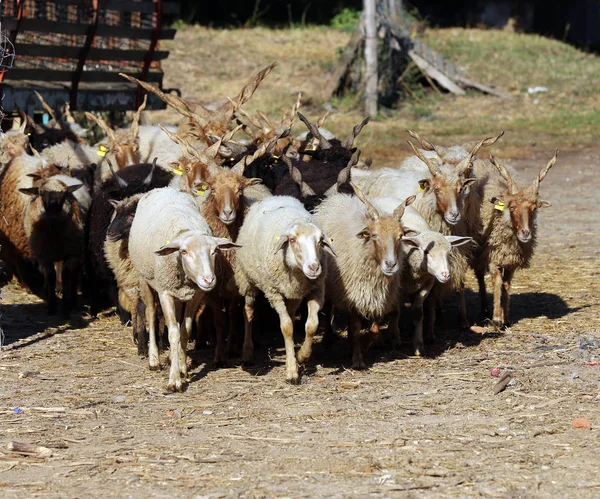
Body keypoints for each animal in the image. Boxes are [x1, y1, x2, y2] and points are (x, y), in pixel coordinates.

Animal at [129, 187, 239, 390]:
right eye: (184, 252)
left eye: (214, 251)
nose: (209, 279)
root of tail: (163, 188)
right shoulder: (165, 292)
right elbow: (173, 333)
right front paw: (174, 380)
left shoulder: (196, 294)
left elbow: (185, 330)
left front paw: (182, 368)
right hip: (144, 279)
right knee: (150, 312)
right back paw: (154, 360)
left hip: (179, 295)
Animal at [233, 195, 336, 382]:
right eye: (293, 240)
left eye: (319, 241)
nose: (314, 267)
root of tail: (276, 197)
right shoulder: (273, 292)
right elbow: (286, 327)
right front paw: (292, 372)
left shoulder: (316, 289)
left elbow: (312, 325)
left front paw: (302, 356)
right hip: (247, 279)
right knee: (248, 311)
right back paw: (247, 353)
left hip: (294, 294)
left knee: (292, 312)